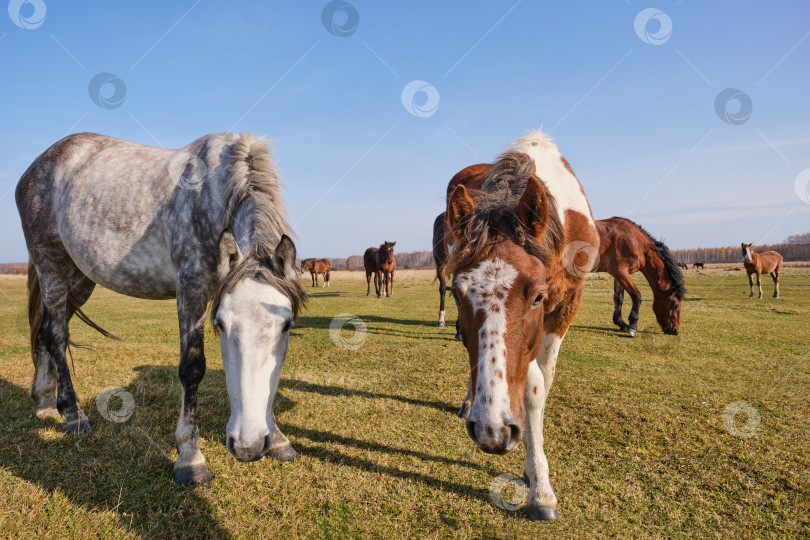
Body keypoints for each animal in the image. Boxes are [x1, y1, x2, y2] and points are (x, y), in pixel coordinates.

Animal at [15, 132, 306, 486]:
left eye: (286, 325)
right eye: (220, 324)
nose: (248, 445)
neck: (215, 192)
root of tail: (37, 166)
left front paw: (277, 439)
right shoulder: (191, 286)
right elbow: (192, 369)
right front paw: (190, 458)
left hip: (79, 278)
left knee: (46, 331)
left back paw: (44, 401)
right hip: (51, 266)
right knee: (56, 335)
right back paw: (72, 415)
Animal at [446, 130, 596, 520]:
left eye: (538, 297)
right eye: (456, 294)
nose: (492, 429)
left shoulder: (565, 307)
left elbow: (540, 388)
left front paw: (537, 478)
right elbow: (532, 385)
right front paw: (538, 483)